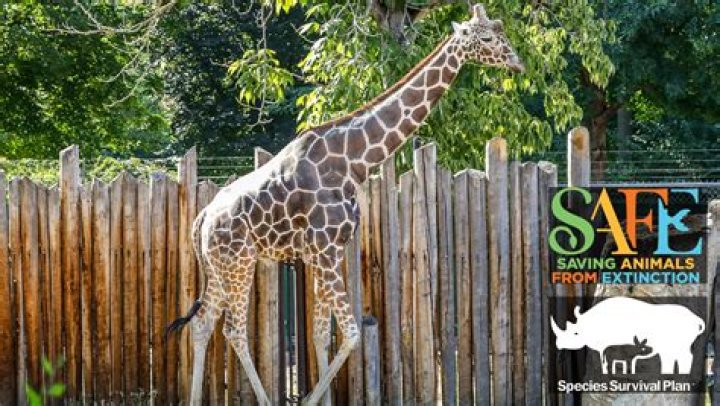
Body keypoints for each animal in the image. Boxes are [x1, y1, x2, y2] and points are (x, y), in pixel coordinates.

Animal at [166, 4, 524, 405]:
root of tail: (202, 218)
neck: (353, 163)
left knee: (202, 323)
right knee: (234, 330)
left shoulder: (328, 251)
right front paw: (309, 399)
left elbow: (322, 334)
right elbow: (351, 333)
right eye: (488, 37)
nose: (518, 63)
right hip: (238, 261)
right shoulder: (323, 250)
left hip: (219, 266)